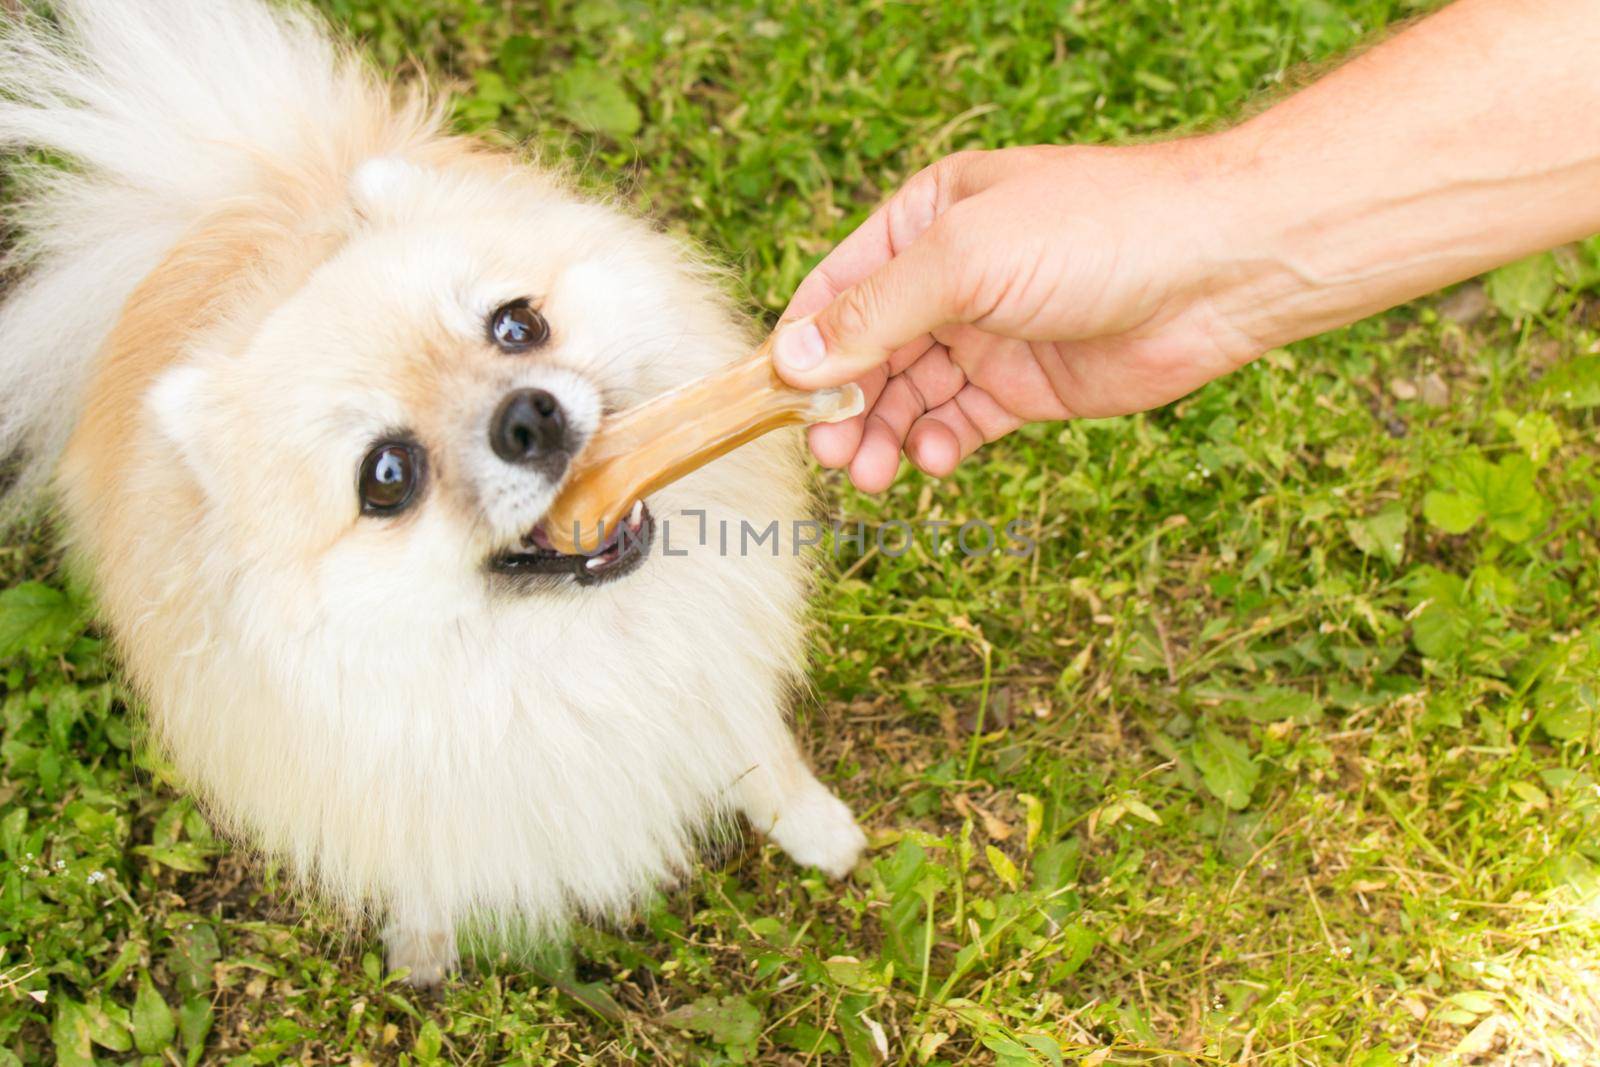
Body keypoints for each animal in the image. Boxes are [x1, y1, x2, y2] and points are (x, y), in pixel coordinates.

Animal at [0, 0, 870, 985]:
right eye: (387, 476)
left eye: (516, 324)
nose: (529, 418)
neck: (561, 650)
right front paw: (421, 943)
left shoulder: (711, 666)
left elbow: (759, 747)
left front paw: (815, 826)